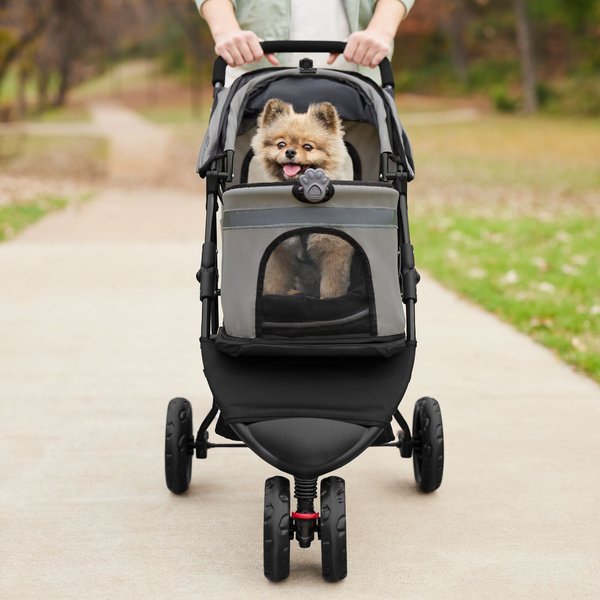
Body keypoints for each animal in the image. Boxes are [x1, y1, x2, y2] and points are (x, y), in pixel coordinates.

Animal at [251, 100, 354, 302]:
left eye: (308, 147)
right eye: (281, 144)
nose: (290, 151)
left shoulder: (335, 251)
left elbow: (330, 288)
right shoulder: (279, 252)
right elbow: (273, 283)